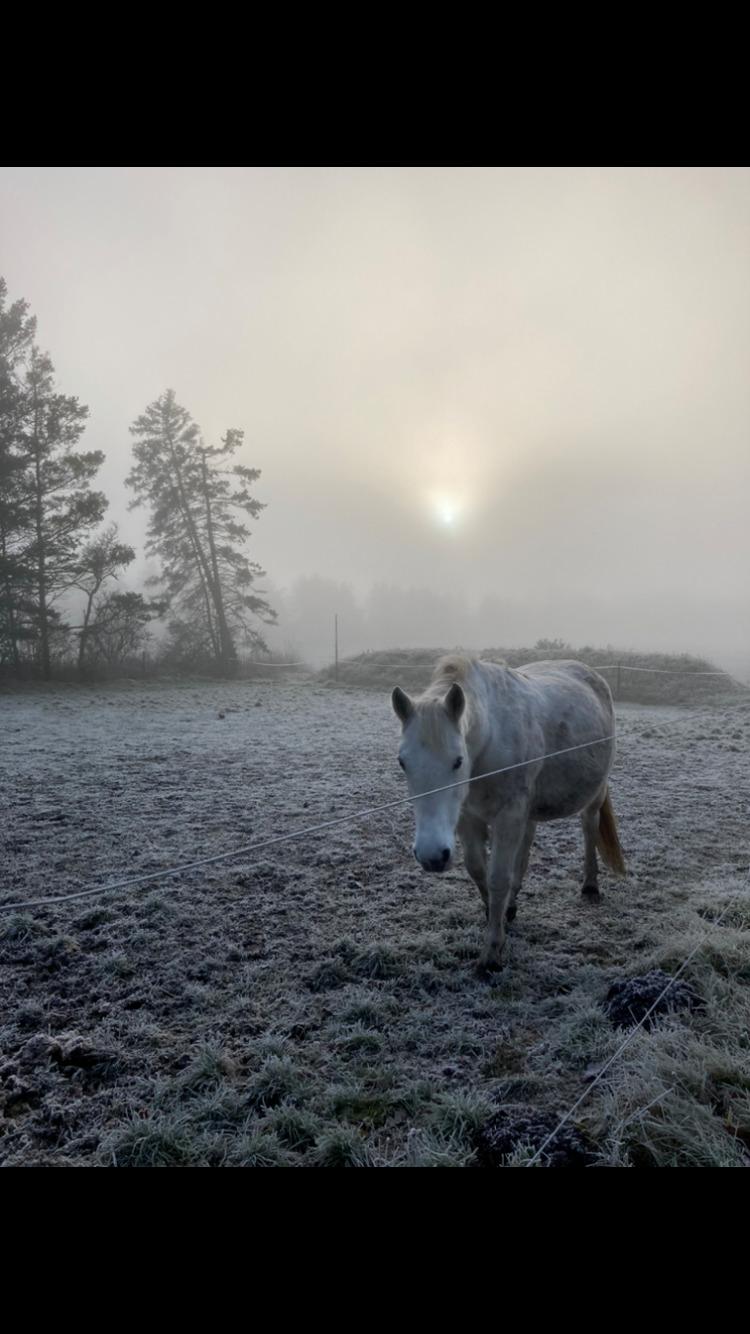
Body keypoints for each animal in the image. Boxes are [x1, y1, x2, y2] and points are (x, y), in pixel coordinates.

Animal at [387, 653, 621, 971]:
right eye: (402, 762)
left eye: (458, 761)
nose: (432, 856)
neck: (490, 739)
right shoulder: (468, 817)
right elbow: (477, 869)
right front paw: (494, 914)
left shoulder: (508, 815)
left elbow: (498, 877)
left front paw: (491, 953)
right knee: (526, 846)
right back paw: (512, 905)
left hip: (593, 795)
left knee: (589, 827)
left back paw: (590, 886)